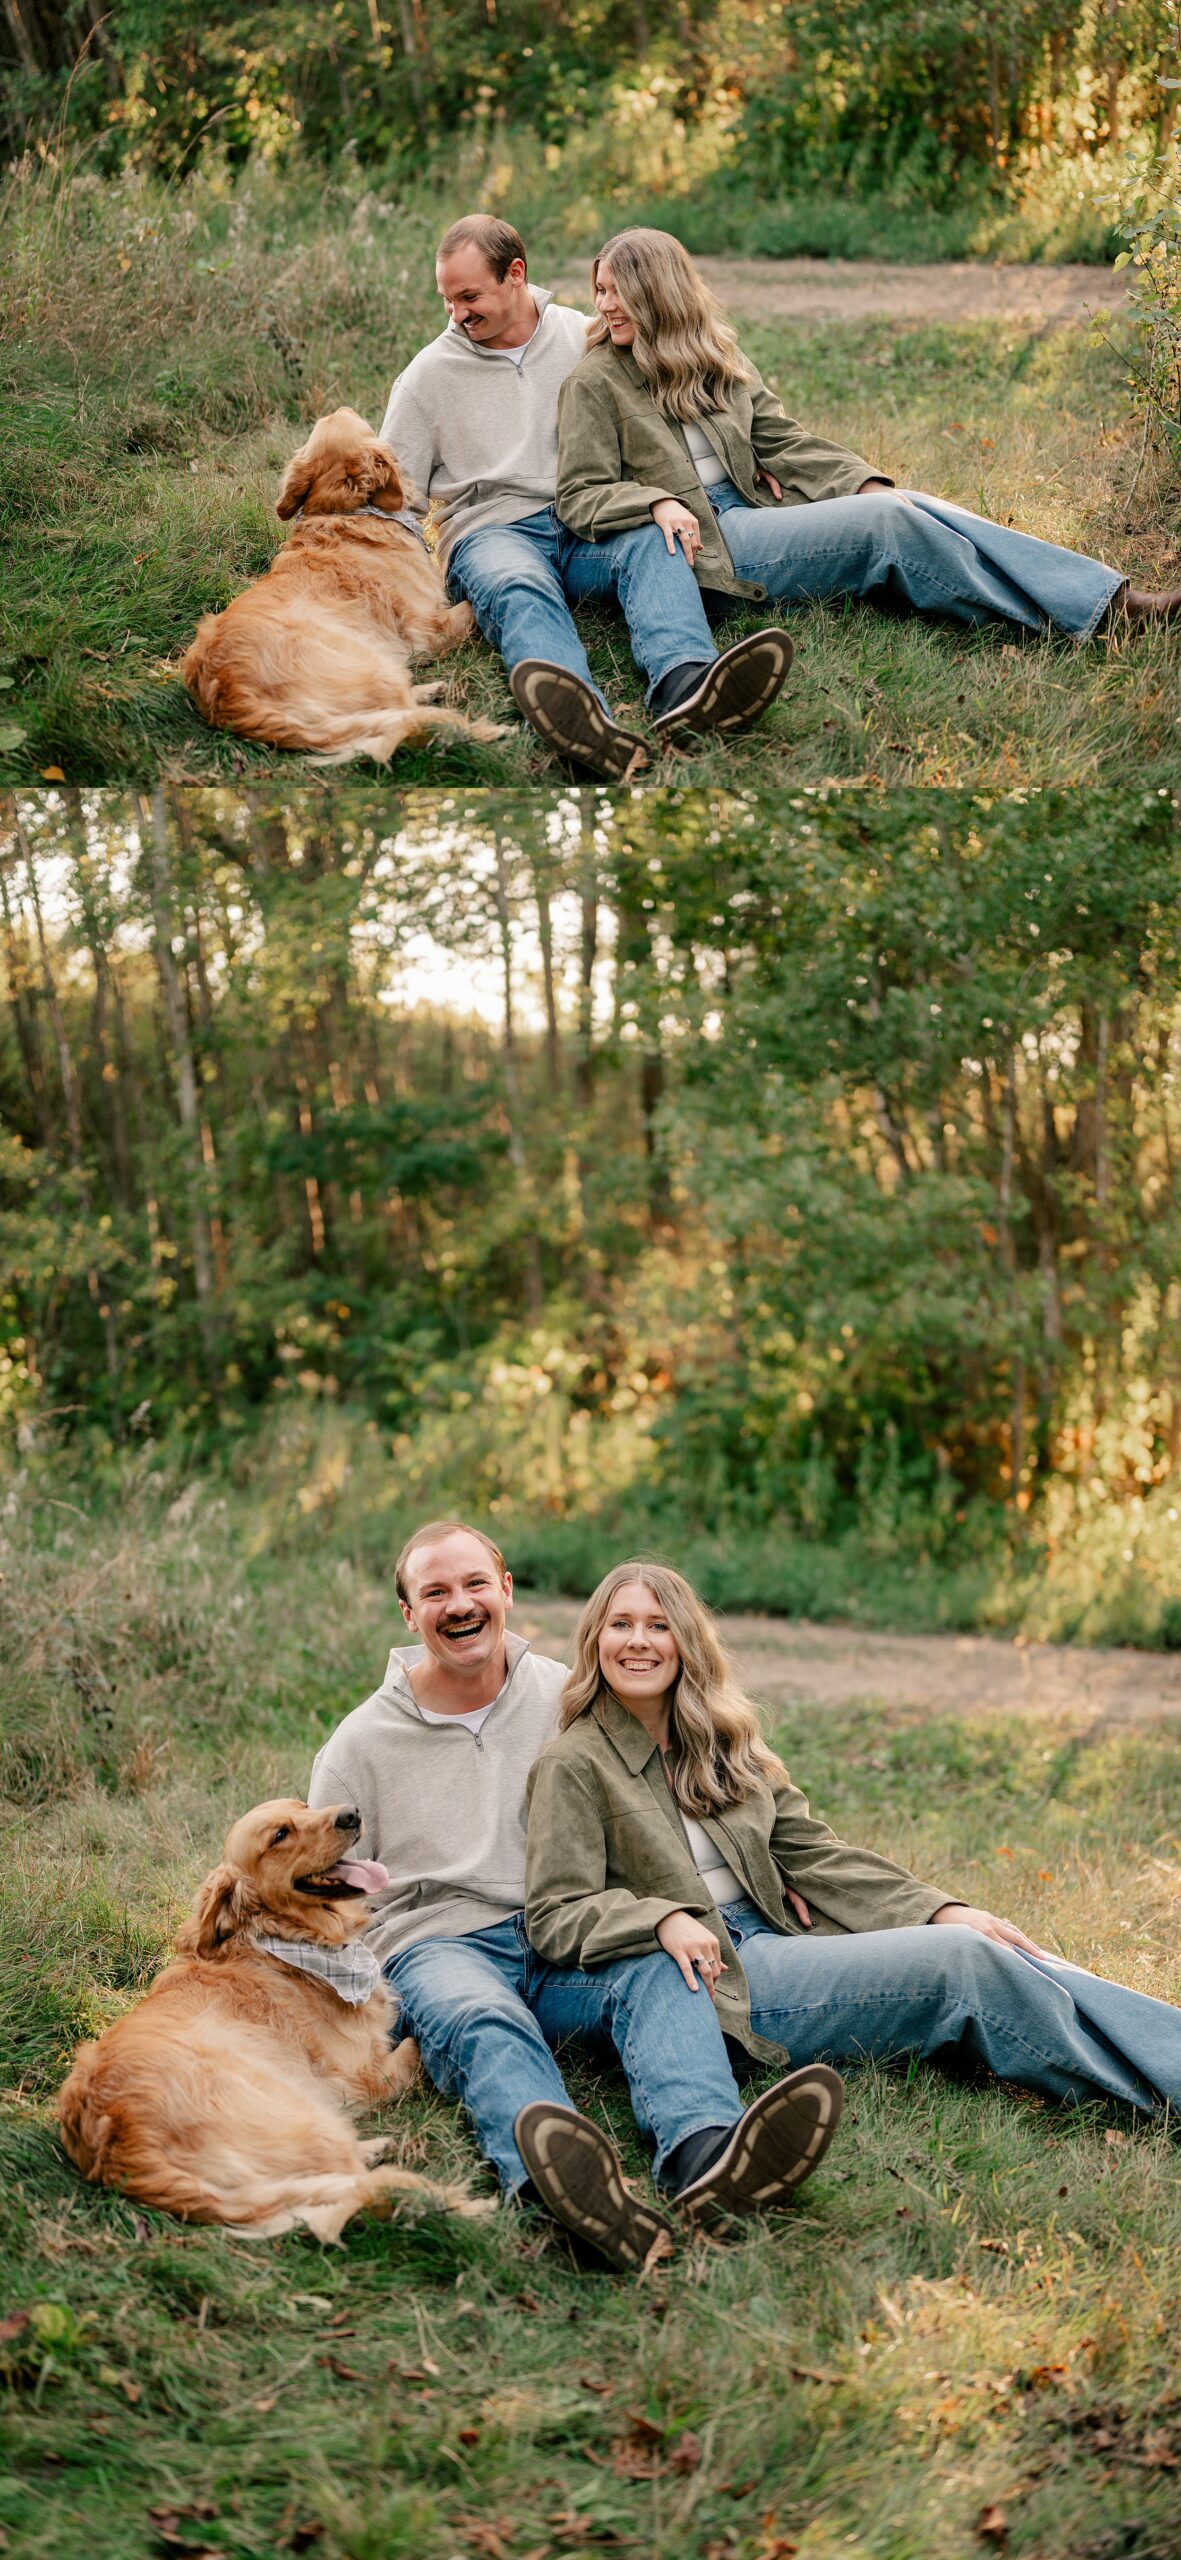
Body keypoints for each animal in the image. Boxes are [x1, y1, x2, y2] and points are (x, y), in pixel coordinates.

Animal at [54, 1802, 486, 2242]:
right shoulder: (364, 2075)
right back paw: (467, 2209)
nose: (350, 1813)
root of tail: (116, 2147)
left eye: (305, 1806)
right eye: (280, 1835)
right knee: (357, 2180)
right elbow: (415, 2045)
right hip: (301, 2111)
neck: (284, 1942)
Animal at [179, 409, 502, 762]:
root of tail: (227, 694)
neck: (347, 512)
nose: (342, 409)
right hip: (373, 665)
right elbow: (471, 607)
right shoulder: (426, 627)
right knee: (402, 715)